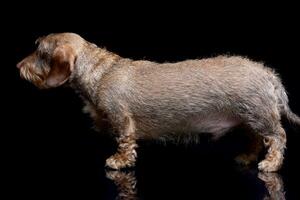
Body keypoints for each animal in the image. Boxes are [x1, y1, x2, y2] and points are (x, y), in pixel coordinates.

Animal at [17, 32, 300, 172]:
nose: (19, 66)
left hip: (261, 117)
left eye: (40, 51)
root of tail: (269, 74)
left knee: (278, 137)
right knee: (256, 139)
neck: (102, 71)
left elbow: (124, 142)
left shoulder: (121, 119)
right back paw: (246, 157)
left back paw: (271, 164)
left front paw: (118, 162)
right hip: (248, 119)